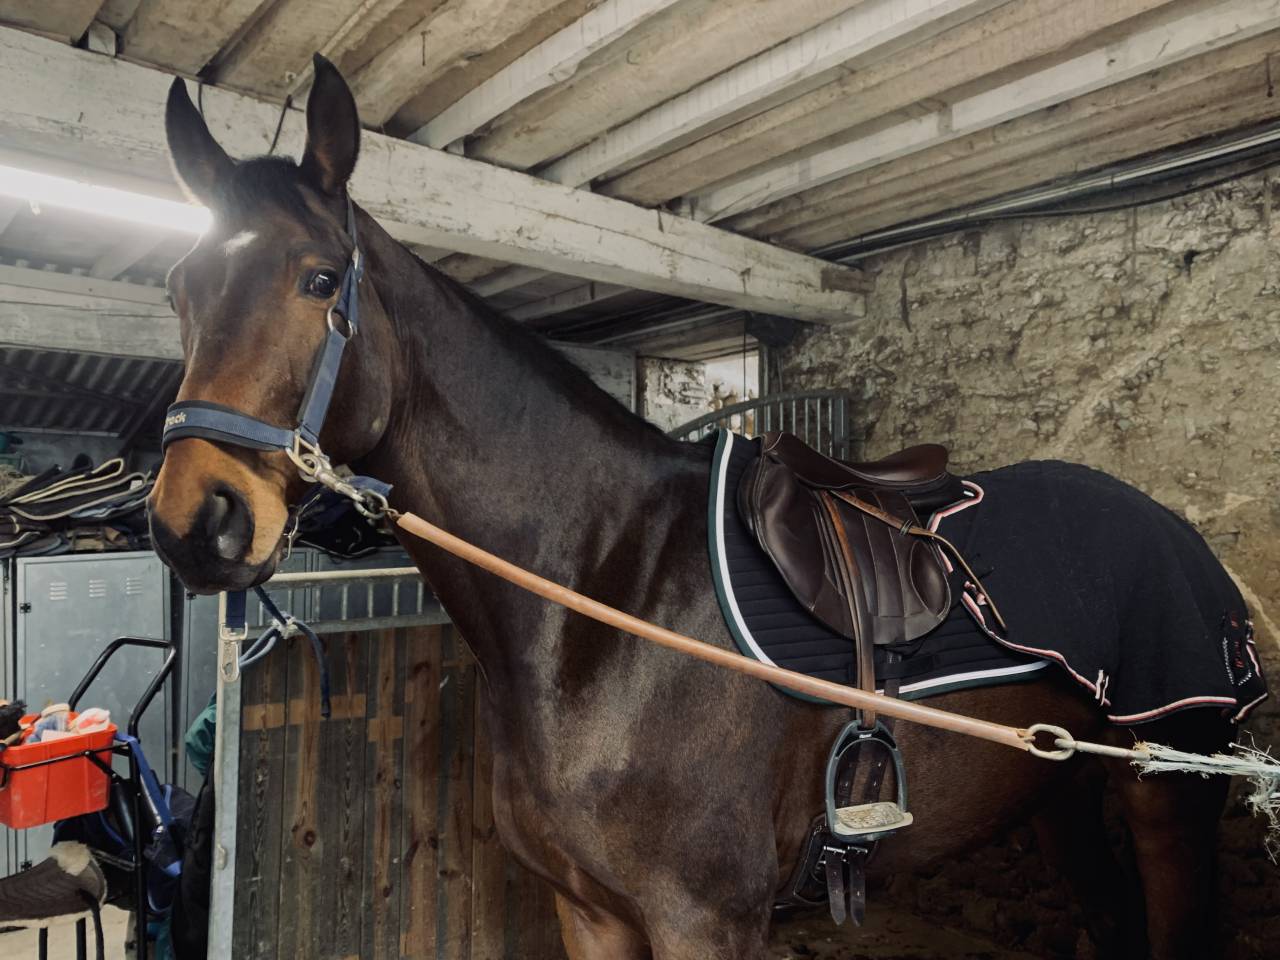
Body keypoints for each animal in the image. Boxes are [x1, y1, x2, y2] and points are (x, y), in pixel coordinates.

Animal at [147, 57, 1244, 960]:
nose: (194, 521)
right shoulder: (588, 912)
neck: (602, 601)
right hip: (1056, 794)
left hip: (1166, 801)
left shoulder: (702, 921)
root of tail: (1177, 532)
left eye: (318, 278)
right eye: (178, 288)